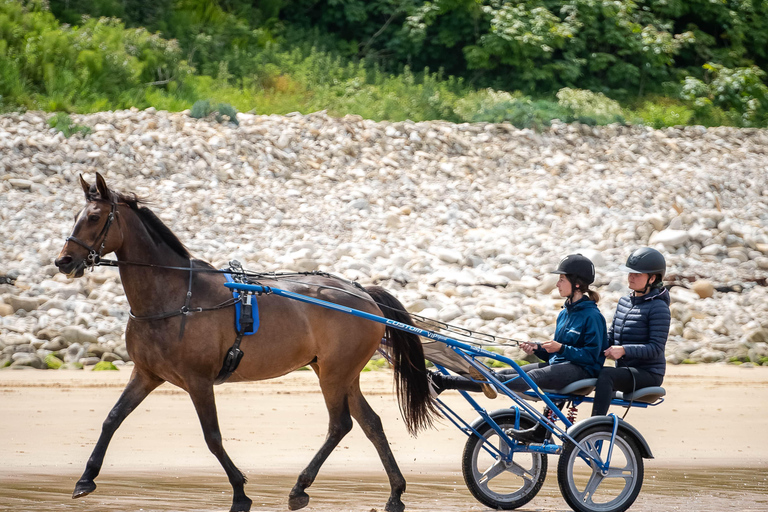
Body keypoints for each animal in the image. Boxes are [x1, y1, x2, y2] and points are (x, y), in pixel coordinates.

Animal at [54, 174, 438, 512]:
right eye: (75, 216)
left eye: (94, 217)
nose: (63, 261)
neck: (177, 295)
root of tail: (363, 293)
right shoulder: (146, 374)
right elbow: (112, 418)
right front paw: (86, 478)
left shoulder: (198, 381)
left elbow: (212, 437)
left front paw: (240, 492)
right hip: (340, 373)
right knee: (371, 423)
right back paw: (395, 494)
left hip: (334, 374)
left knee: (340, 424)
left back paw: (300, 488)